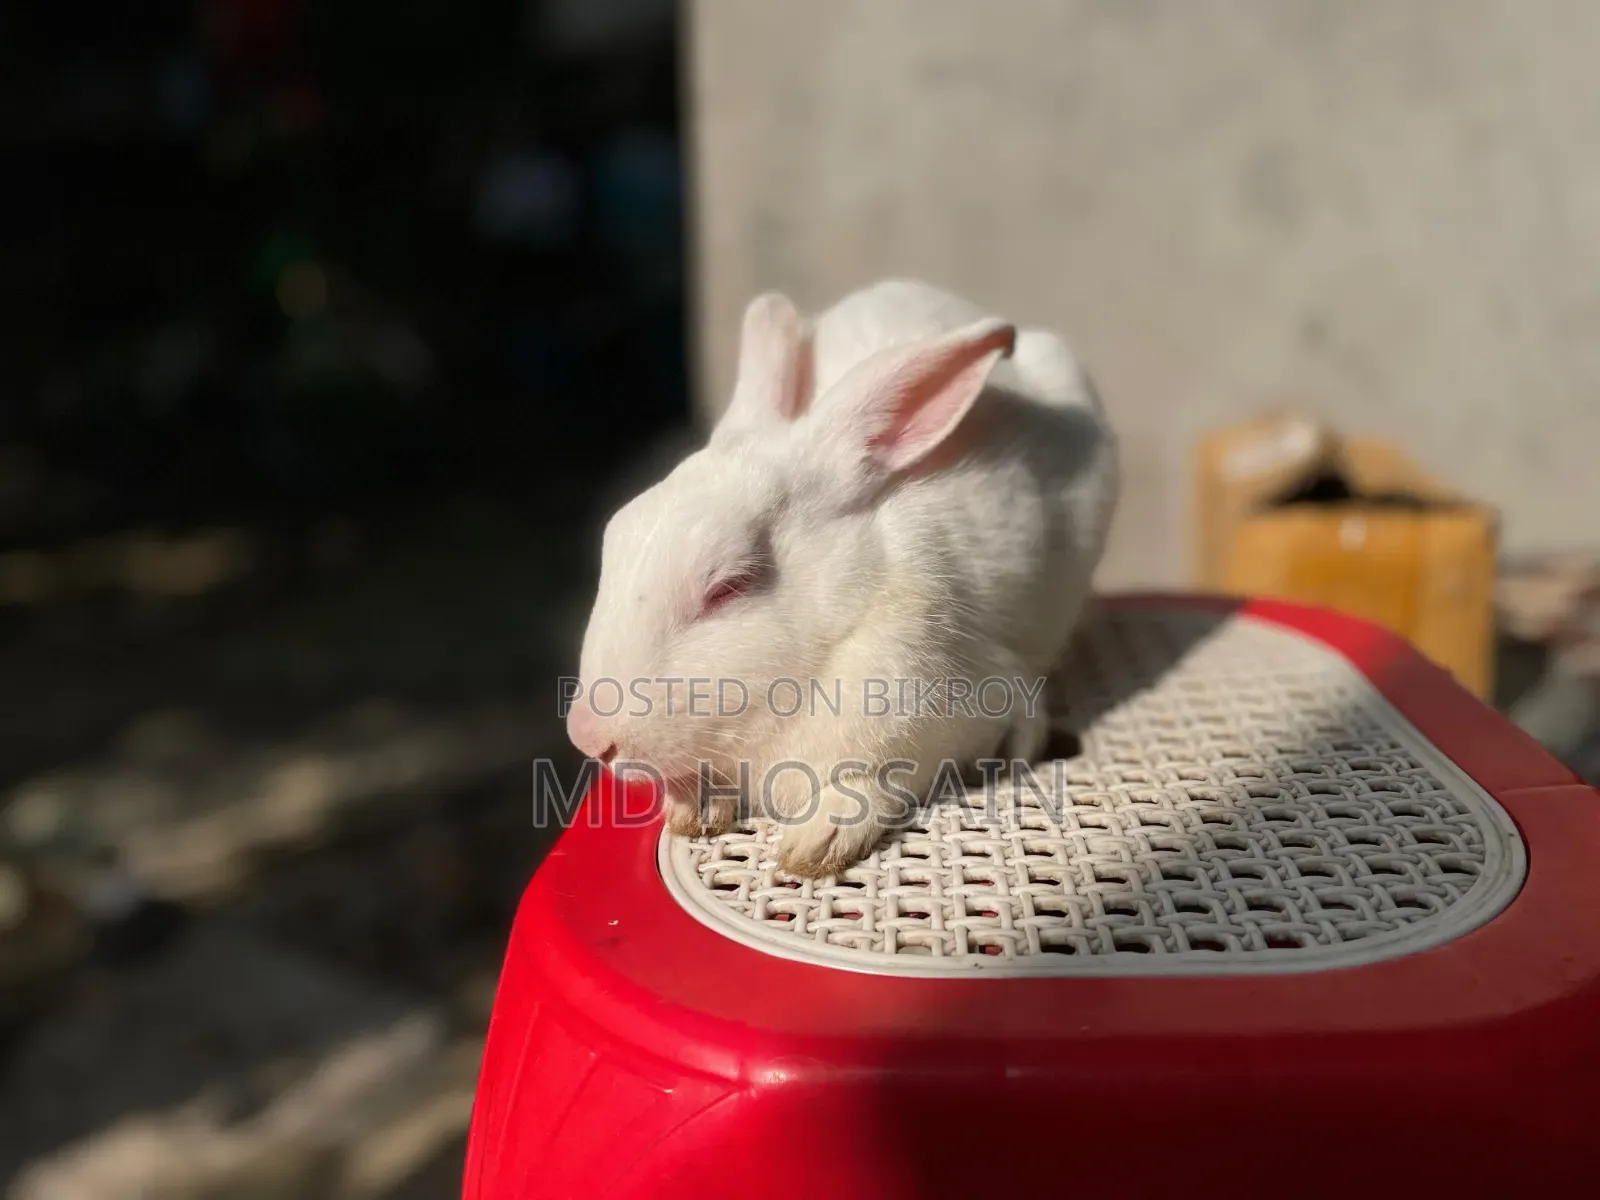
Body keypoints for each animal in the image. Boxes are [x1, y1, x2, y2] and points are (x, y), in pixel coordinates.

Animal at [565, 278, 1119, 878]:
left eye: (729, 586)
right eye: (614, 535)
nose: (588, 737)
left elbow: (867, 785)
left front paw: (817, 843)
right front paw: (695, 809)